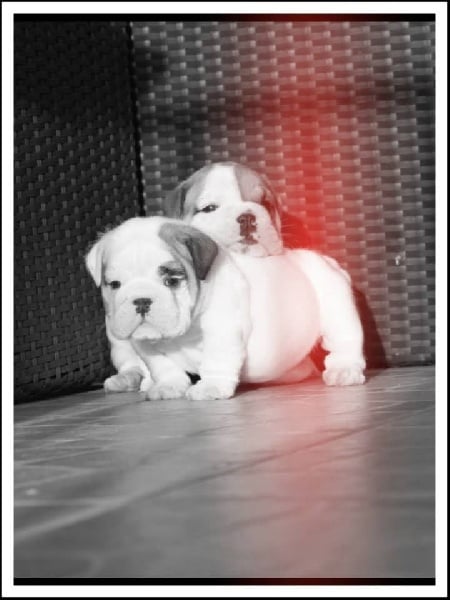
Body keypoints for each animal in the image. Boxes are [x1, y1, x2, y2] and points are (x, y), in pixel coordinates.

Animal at [163, 162, 366, 386]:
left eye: (265, 204)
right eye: (209, 208)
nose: (247, 216)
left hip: (337, 306)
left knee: (345, 338)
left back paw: (344, 369)